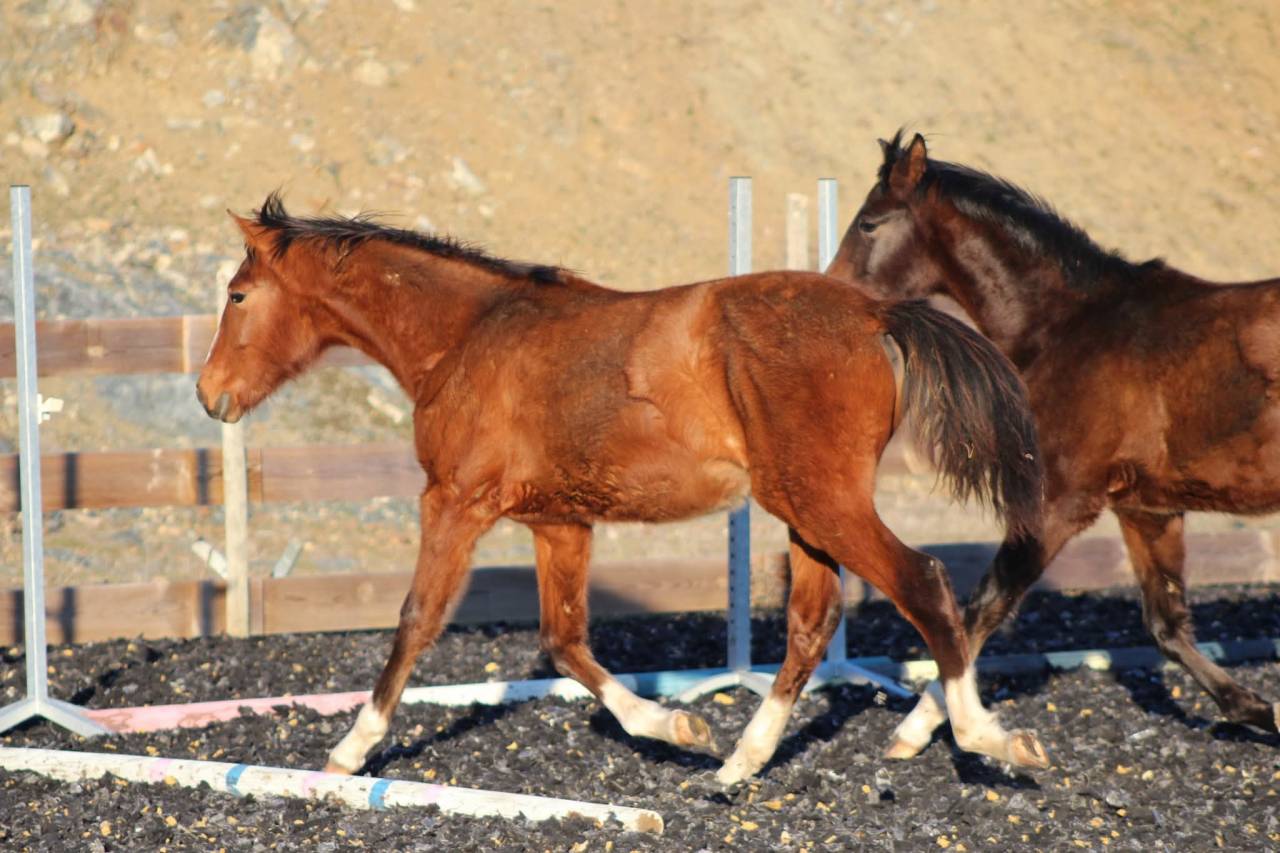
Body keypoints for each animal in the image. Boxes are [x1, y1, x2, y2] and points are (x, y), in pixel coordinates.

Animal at [196, 193, 1047, 785]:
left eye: (237, 295)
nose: (209, 395)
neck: (469, 336)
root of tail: (874, 311)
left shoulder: (454, 500)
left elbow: (416, 619)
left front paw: (350, 748)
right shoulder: (558, 522)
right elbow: (565, 640)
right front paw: (674, 727)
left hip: (822, 502)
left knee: (923, 582)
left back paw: (985, 735)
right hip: (805, 509)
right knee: (813, 621)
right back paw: (739, 760)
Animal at [827, 130, 1280, 760]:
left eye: (869, 223)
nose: (830, 294)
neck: (1067, 328)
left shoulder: (1059, 502)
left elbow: (981, 608)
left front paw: (927, 730)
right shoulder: (1147, 509)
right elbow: (1166, 625)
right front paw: (1258, 710)